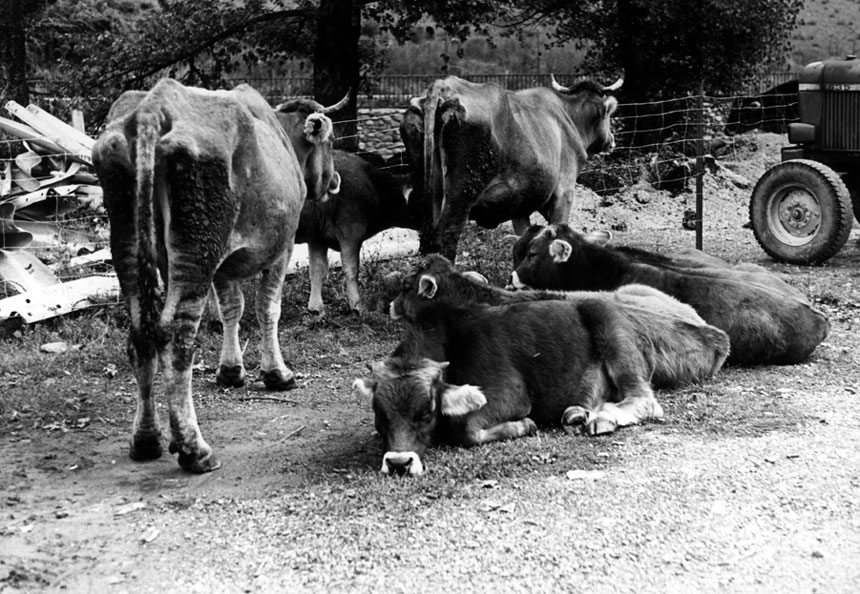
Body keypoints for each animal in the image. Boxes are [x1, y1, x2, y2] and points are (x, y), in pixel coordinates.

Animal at [296, 149, 416, 314]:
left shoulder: (318, 237)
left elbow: (317, 269)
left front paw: (316, 308)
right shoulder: (351, 232)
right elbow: (351, 270)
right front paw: (358, 306)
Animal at [352, 256, 728, 474]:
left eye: (426, 412)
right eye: (379, 414)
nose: (398, 463)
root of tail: (715, 334)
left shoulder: (510, 394)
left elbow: (467, 429)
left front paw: (524, 426)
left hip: (612, 329)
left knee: (643, 400)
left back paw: (603, 417)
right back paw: (578, 412)